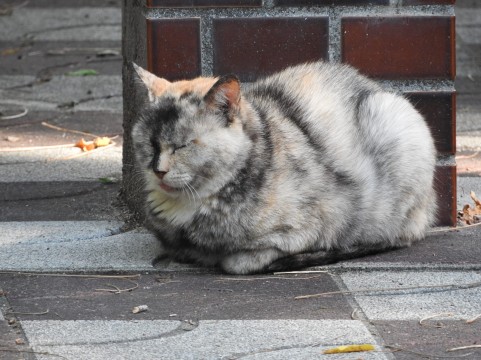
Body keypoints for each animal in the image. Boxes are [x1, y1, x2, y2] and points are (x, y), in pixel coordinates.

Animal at [129, 62, 436, 274]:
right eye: (149, 143)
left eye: (182, 146)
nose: (158, 170)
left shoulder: (312, 227)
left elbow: (235, 262)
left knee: (401, 234)